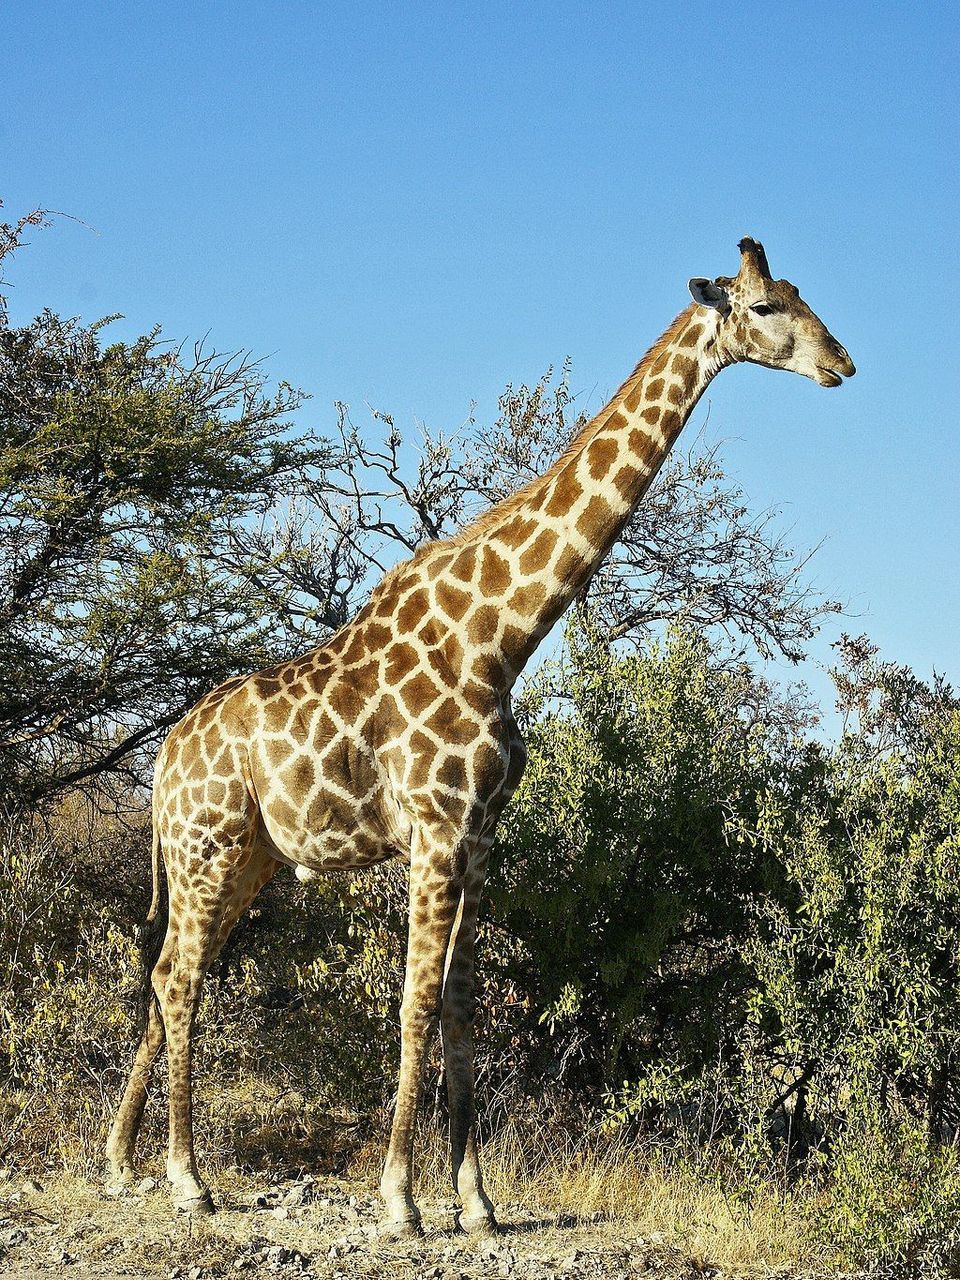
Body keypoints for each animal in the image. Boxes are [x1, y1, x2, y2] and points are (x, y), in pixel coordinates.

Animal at [105, 237, 854, 1235]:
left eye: (801, 295)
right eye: (768, 306)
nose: (841, 363)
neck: (498, 638)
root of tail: (160, 764)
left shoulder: (481, 836)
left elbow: (462, 1007)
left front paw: (477, 1202)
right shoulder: (433, 829)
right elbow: (415, 1006)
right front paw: (399, 1199)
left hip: (247, 856)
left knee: (164, 977)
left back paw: (121, 1164)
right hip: (208, 843)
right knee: (181, 980)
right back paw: (188, 1178)